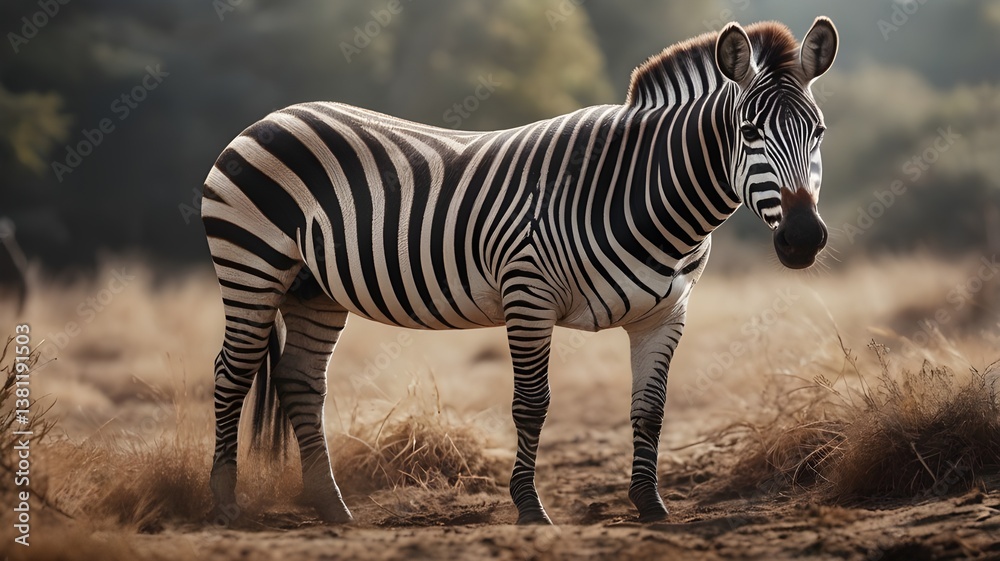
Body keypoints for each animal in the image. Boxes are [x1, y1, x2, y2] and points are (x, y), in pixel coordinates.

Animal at [202, 18, 837, 524]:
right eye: (749, 132)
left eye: (820, 132)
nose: (805, 239)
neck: (642, 197)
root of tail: (275, 115)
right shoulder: (528, 293)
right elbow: (532, 405)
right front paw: (530, 509)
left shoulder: (666, 313)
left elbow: (650, 410)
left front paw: (651, 506)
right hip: (251, 266)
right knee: (231, 373)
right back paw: (225, 504)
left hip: (316, 290)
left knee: (300, 381)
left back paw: (332, 509)